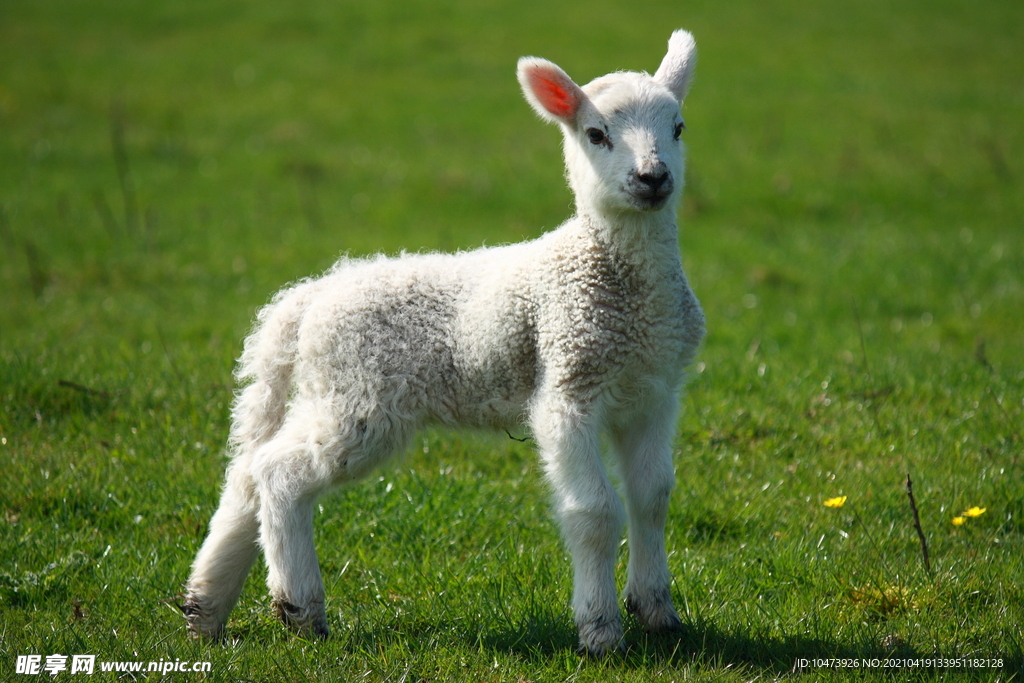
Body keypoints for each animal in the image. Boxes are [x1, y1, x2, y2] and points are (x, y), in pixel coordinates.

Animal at [184, 30, 704, 655]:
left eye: (679, 127)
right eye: (596, 134)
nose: (653, 178)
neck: (631, 296)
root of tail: (305, 300)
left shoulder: (653, 390)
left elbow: (653, 497)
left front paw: (657, 612)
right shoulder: (568, 389)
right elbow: (595, 511)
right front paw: (600, 629)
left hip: (322, 392)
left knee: (245, 476)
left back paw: (205, 606)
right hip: (358, 399)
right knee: (278, 474)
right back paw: (300, 607)